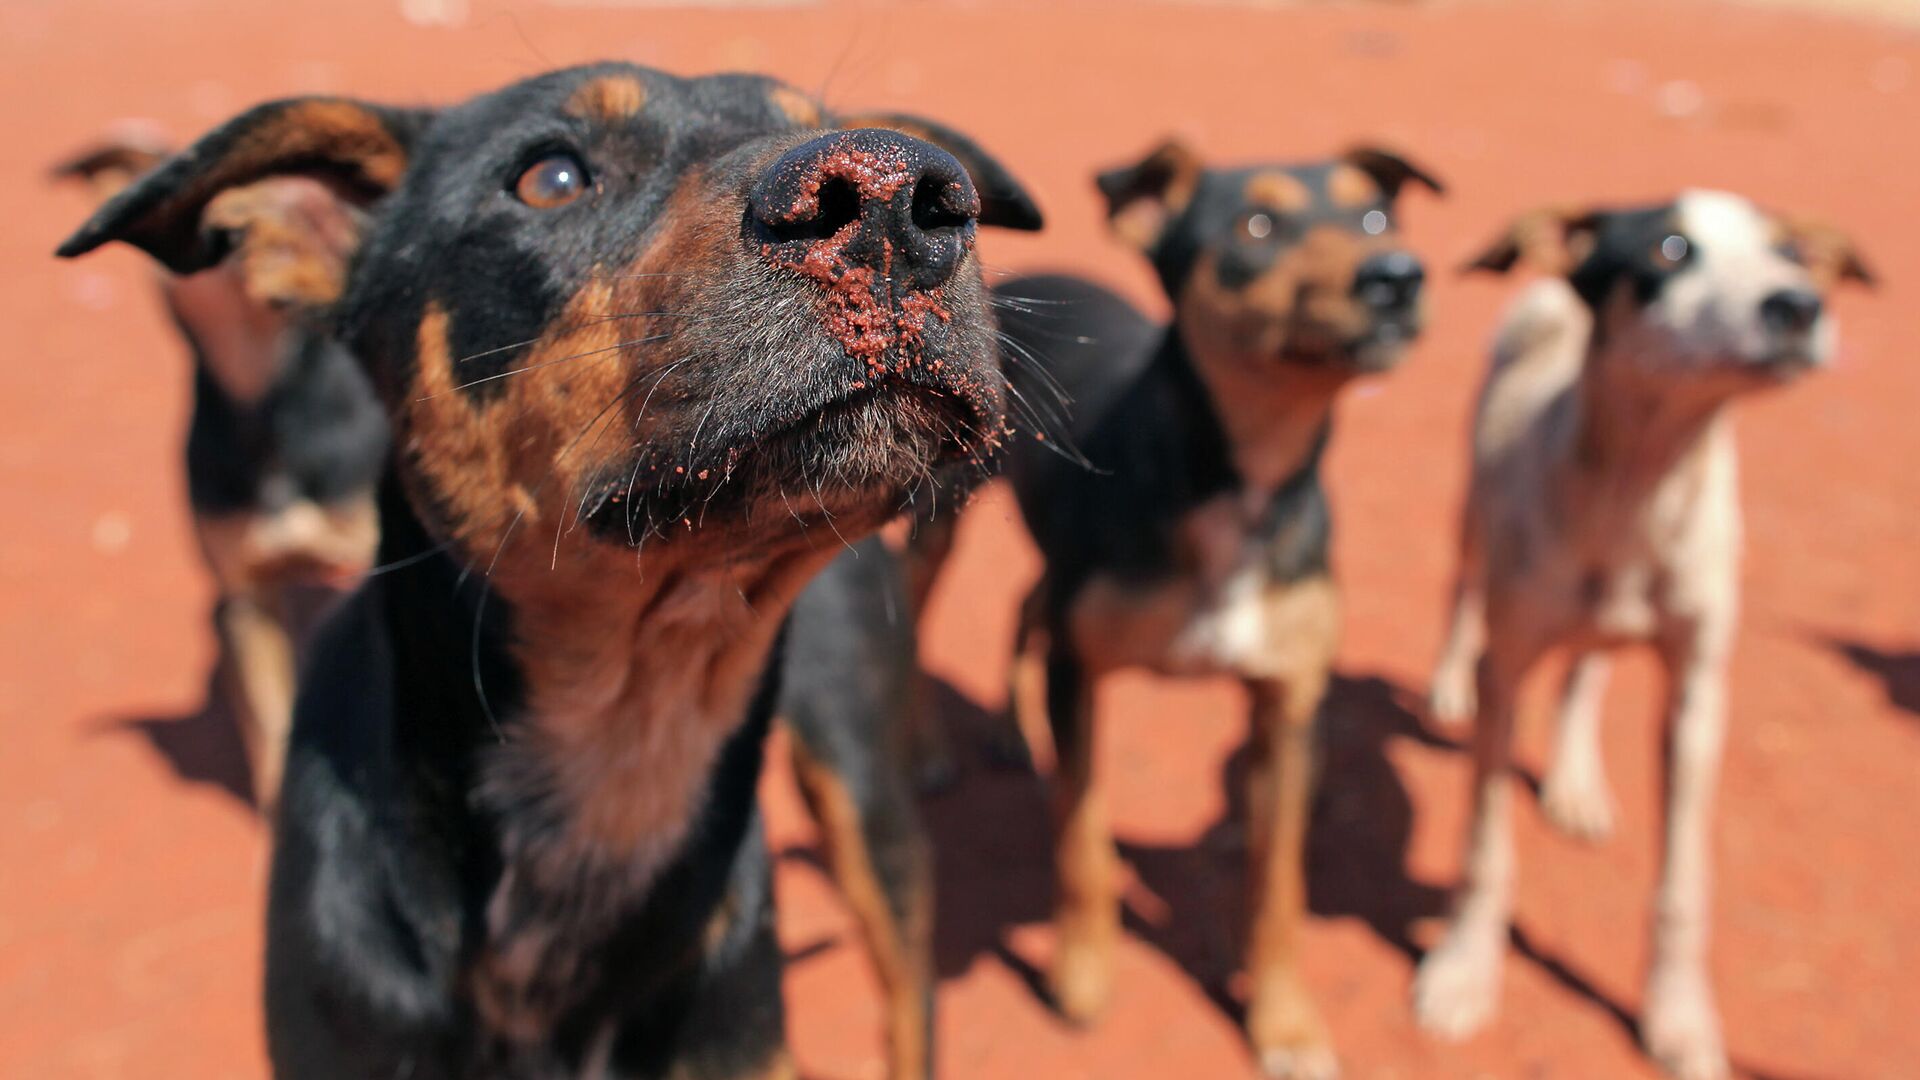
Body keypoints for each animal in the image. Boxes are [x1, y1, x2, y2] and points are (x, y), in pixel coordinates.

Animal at [990, 143, 1443, 1076]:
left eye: (1376, 217)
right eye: (1256, 225)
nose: (1397, 276)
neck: (1243, 484)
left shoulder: (1288, 705)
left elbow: (1279, 887)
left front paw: (1284, 1023)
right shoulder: (1078, 676)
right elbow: (1080, 840)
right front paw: (1080, 975)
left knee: (1025, 605)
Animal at [1420, 191, 1866, 1076]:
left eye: (1792, 252)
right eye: (1670, 249)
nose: (1799, 307)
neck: (1639, 490)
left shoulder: (1697, 699)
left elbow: (1682, 885)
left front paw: (1679, 1017)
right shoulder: (1506, 670)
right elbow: (1486, 849)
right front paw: (1463, 974)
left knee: (1586, 669)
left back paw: (1574, 780)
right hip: (1472, 519)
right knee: (1464, 590)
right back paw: (1448, 682)